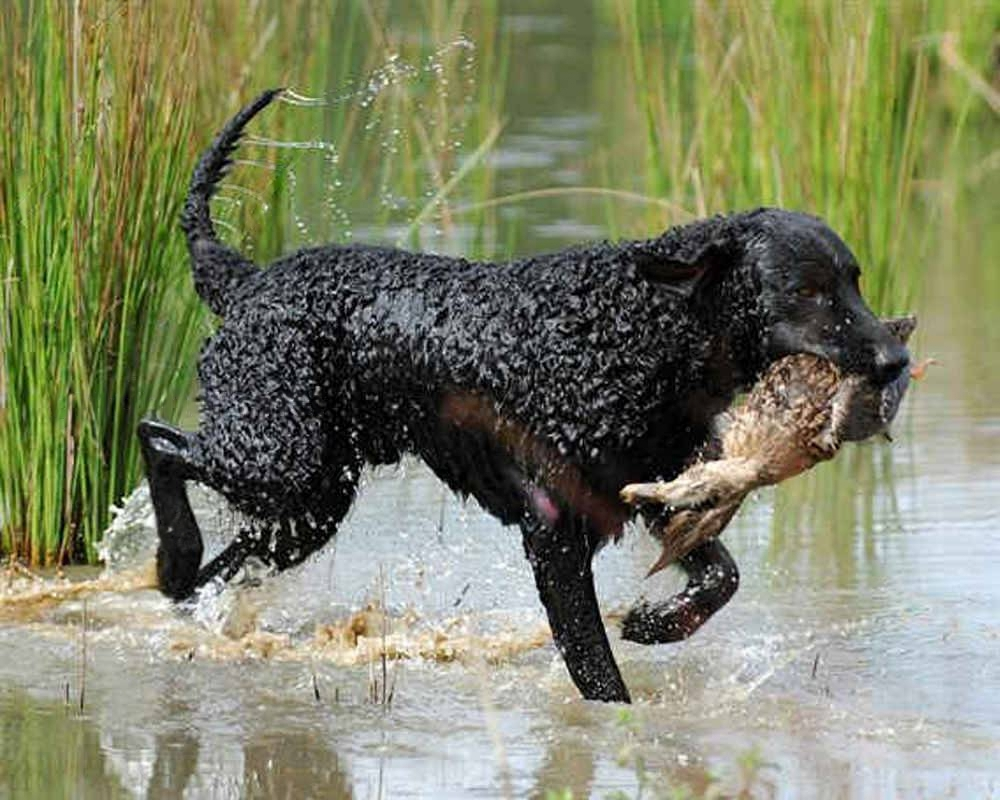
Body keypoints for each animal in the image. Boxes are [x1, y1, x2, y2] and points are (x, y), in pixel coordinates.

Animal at [141, 92, 916, 700]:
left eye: (854, 280)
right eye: (807, 291)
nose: (895, 358)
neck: (642, 328)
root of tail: (248, 282)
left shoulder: (653, 492)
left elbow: (721, 576)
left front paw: (656, 623)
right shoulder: (554, 532)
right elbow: (599, 672)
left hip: (310, 503)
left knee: (221, 565)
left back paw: (187, 599)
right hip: (279, 459)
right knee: (158, 439)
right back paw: (176, 554)